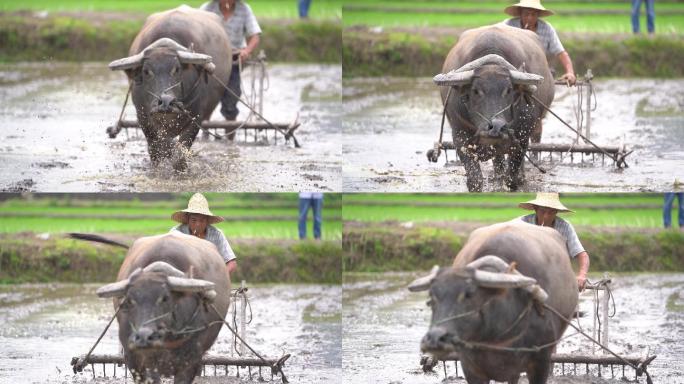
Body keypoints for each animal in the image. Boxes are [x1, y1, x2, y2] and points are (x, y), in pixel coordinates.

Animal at [109, 5, 231, 171]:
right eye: (146, 71)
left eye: (177, 69)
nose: (165, 102)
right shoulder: (143, 117)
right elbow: (158, 148)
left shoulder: (196, 117)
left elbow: (181, 149)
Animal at [432, 24, 556, 192]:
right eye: (475, 91)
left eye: (509, 90)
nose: (496, 127)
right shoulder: (460, 136)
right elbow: (475, 179)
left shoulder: (522, 138)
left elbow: (511, 178)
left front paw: (515, 181)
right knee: (498, 162)